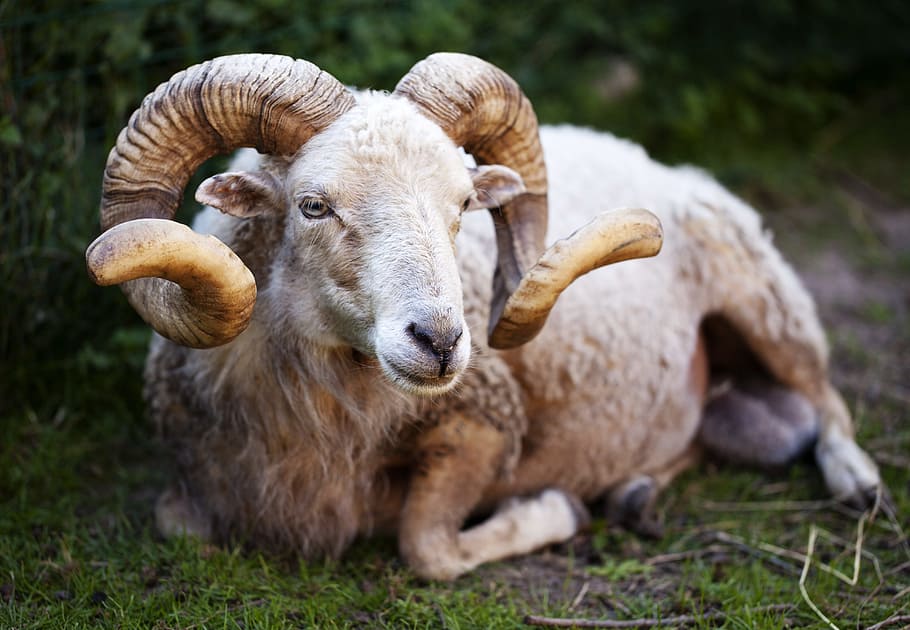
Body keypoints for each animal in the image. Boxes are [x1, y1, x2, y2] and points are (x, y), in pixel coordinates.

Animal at [86, 52, 882, 581]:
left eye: (466, 203)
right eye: (312, 205)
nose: (439, 341)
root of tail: (668, 164)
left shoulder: (487, 428)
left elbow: (428, 548)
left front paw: (552, 510)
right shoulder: (192, 479)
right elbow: (178, 527)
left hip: (768, 302)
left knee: (829, 400)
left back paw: (859, 485)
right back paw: (635, 495)